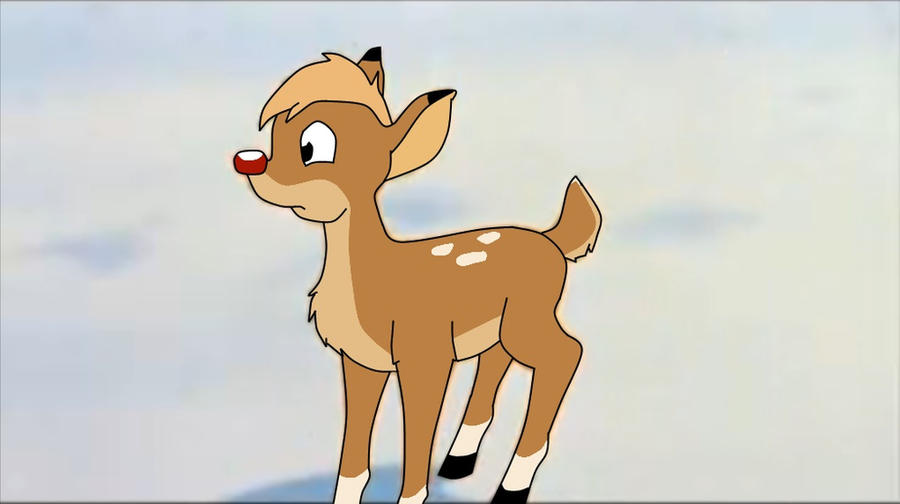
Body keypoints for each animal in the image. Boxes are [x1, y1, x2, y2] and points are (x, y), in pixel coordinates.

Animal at [232, 47, 602, 504]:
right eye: (275, 136)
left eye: (312, 146)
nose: (251, 165)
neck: (378, 279)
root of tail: (552, 241)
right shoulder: (361, 362)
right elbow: (354, 447)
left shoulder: (425, 354)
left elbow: (418, 435)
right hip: (499, 326)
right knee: (498, 362)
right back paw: (459, 462)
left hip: (528, 318)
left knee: (568, 353)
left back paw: (512, 486)